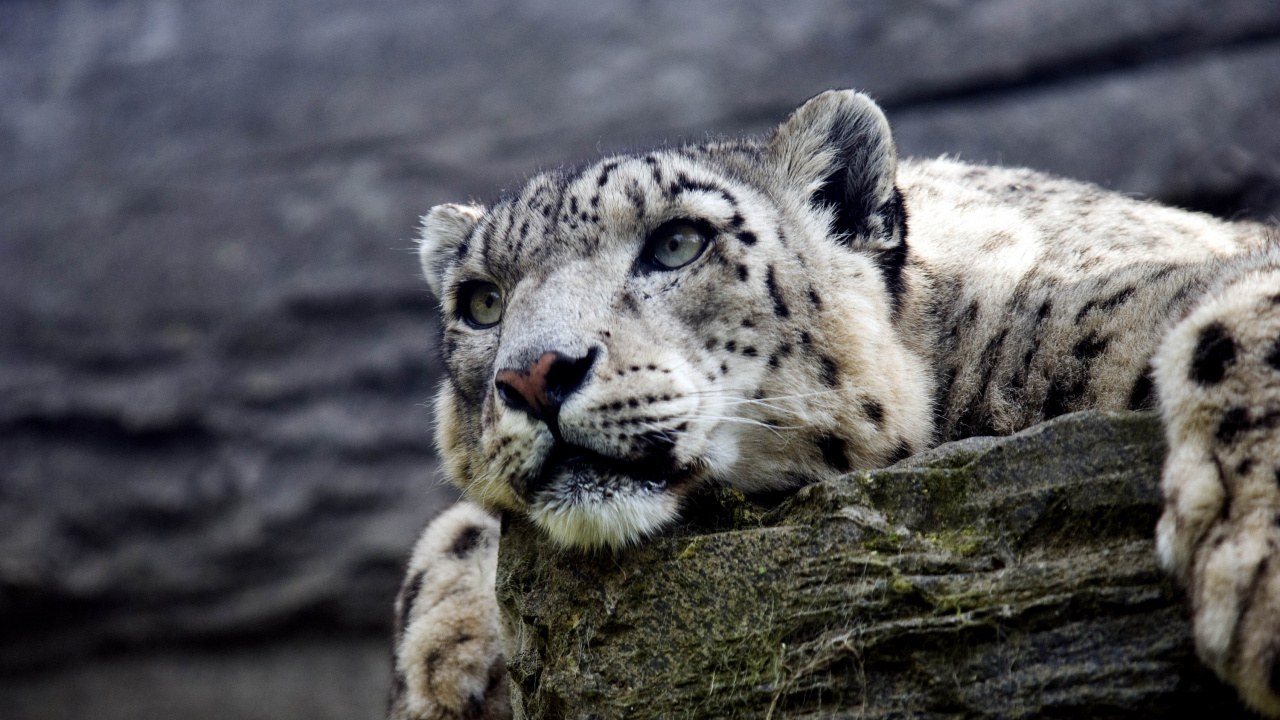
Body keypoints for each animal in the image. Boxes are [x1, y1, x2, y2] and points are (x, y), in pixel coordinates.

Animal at [387, 90, 1280, 719]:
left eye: (678, 242)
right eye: (481, 301)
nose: (535, 375)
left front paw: (1260, 582)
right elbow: (456, 527)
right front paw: (440, 671)